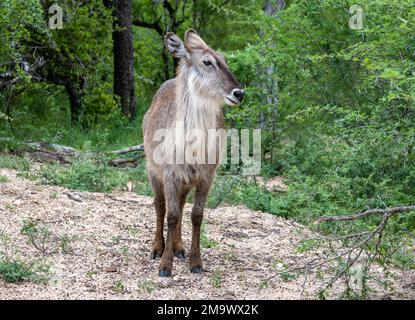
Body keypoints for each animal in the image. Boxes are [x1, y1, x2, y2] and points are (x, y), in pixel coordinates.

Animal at [143, 28, 245, 276]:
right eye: (207, 61)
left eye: (224, 59)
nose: (239, 93)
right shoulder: (170, 173)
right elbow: (170, 215)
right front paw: (165, 265)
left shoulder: (205, 176)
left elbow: (196, 215)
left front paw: (195, 262)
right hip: (153, 170)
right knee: (160, 205)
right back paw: (158, 247)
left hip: (186, 181)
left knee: (179, 206)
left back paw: (178, 247)